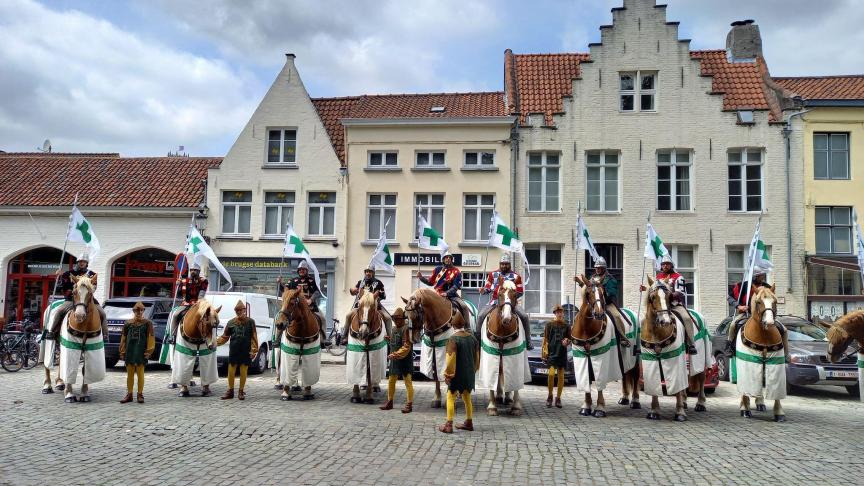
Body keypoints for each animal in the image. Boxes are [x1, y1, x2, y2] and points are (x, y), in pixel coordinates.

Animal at [58, 276, 106, 404]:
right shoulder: (71, 345)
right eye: (74, 292)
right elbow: (69, 367)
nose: (79, 315)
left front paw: (84, 393)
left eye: (90, 293)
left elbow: (85, 370)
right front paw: (69, 394)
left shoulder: (91, 347)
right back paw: (50, 385)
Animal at [476, 280, 528, 416]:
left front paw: (516, 407)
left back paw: (507, 397)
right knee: (499, 372)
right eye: (500, 294)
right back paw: (499, 397)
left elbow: (515, 381)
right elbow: (493, 378)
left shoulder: (514, 355)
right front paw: (492, 406)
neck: (502, 329)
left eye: (514, 295)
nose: (506, 318)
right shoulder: (491, 353)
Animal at [572, 276, 632, 416]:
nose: (598, 313)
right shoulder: (582, 356)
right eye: (588, 293)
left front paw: (600, 408)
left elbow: (600, 383)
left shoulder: (599, 356)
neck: (586, 328)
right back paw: (624, 399)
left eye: (602, 292)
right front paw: (586, 406)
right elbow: (587, 380)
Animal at [640, 278, 688, 422]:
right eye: (652, 297)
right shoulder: (650, 359)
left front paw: (680, 412)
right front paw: (654, 410)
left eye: (669, 296)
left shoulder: (674, 358)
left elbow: (678, 387)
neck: (656, 332)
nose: (665, 321)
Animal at [732, 284, 788, 422]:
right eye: (758, 302)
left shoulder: (775, 363)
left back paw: (760, 402)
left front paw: (779, 412)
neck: (763, 335)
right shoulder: (748, 361)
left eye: (775, 301)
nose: (769, 322)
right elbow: (746, 386)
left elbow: (776, 390)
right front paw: (745, 409)